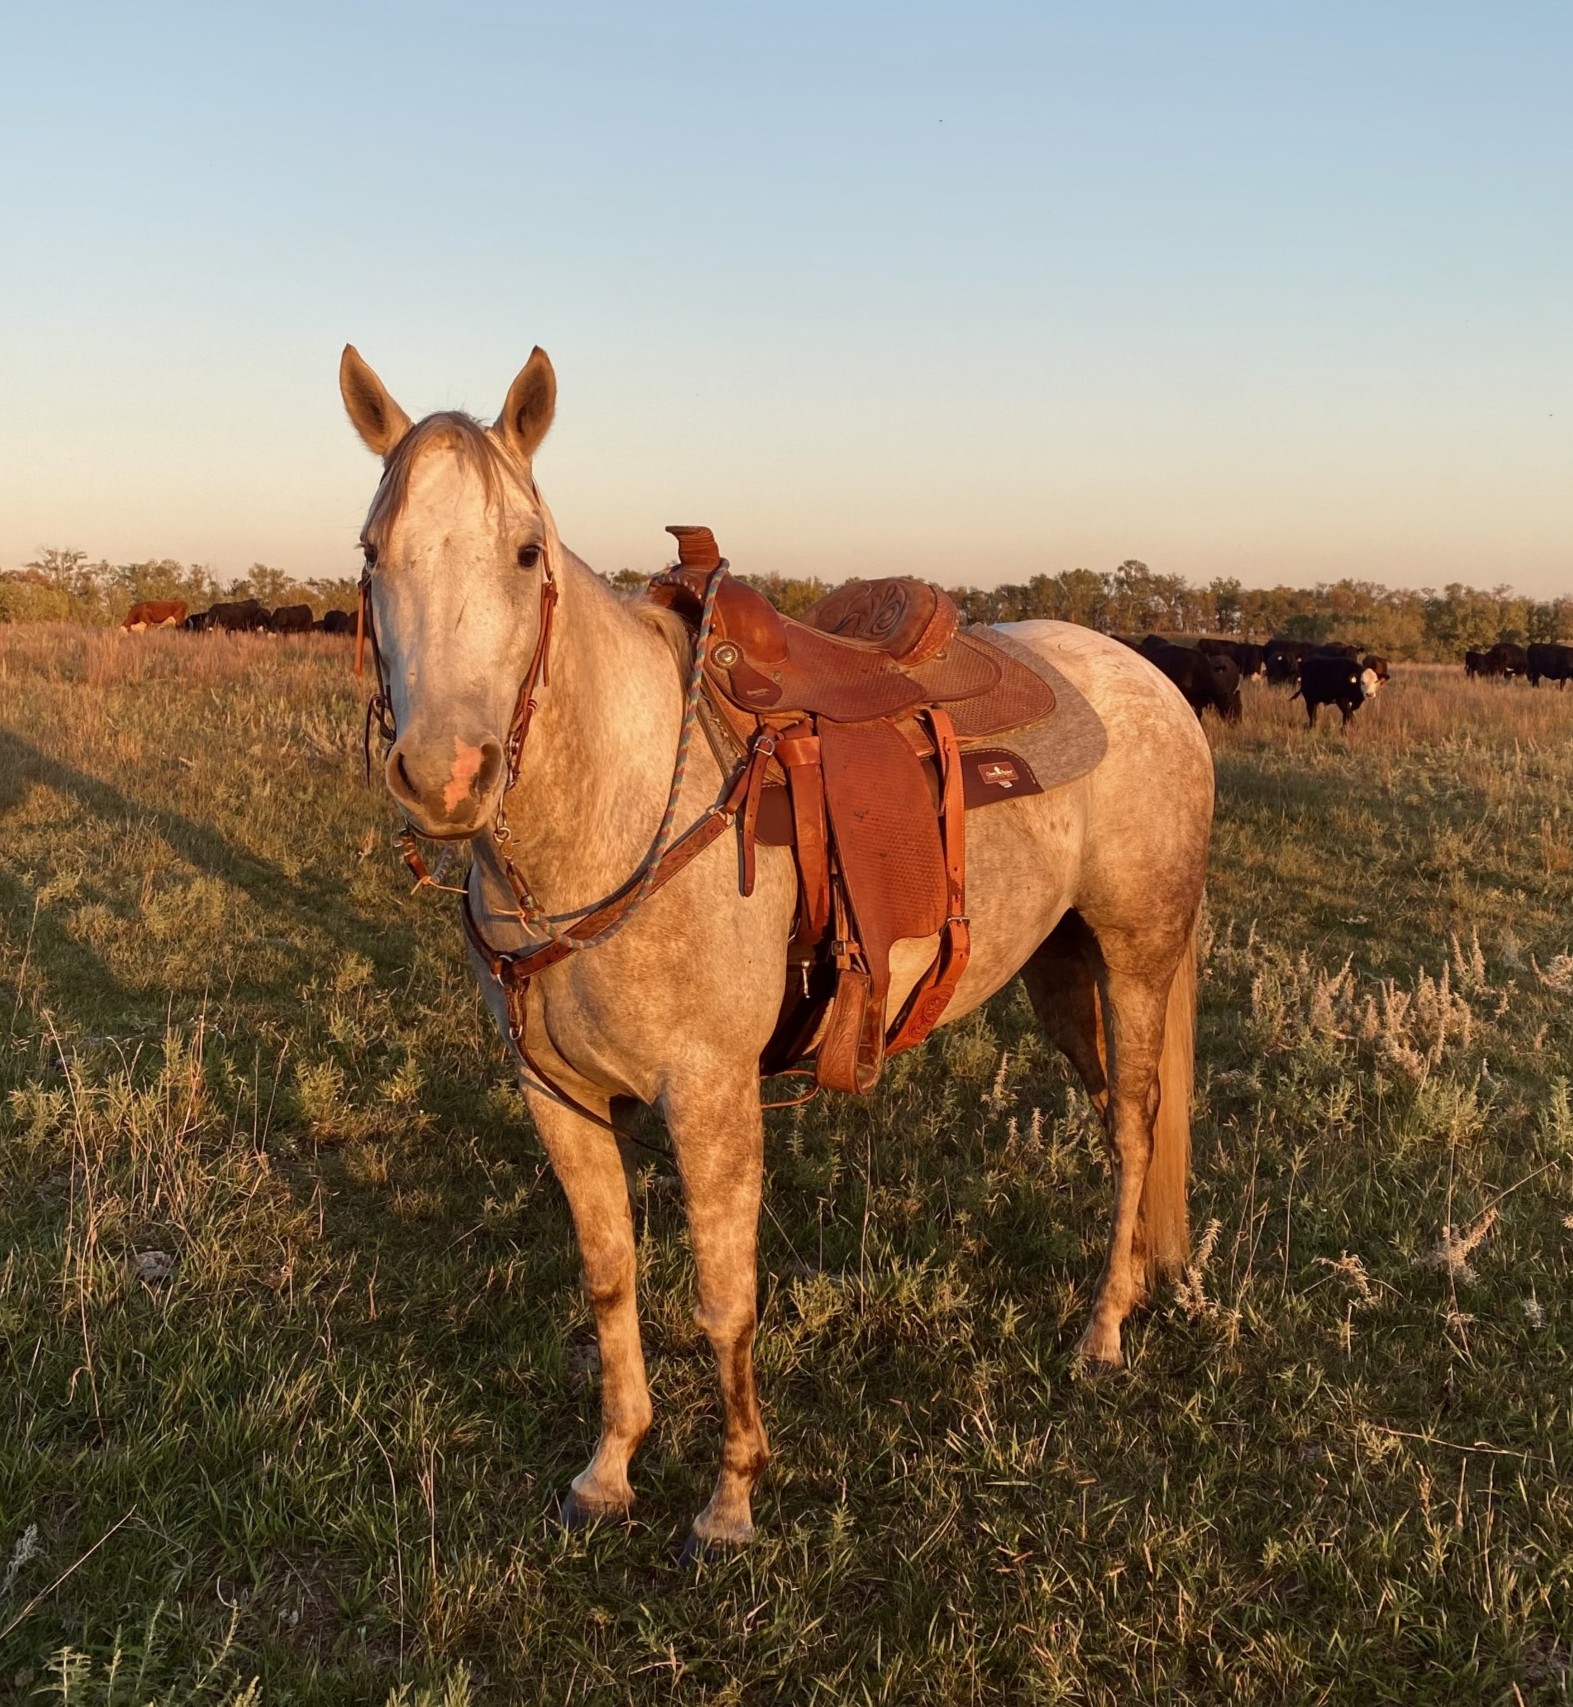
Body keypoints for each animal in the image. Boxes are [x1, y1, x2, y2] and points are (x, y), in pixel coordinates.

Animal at [338, 345, 1215, 1552]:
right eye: (373, 553)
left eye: (524, 551)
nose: (444, 777)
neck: (609, 816)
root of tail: (1152, 680)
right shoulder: (554, 1093)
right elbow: (609, 1275)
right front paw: (608, 1469)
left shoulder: (709, 1094)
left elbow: (724, 1296)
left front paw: (730, 1496)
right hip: (1060, 970)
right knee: (1112, 1119)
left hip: (1137, 956)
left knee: (1134, 1128)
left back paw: (1104, 1332)